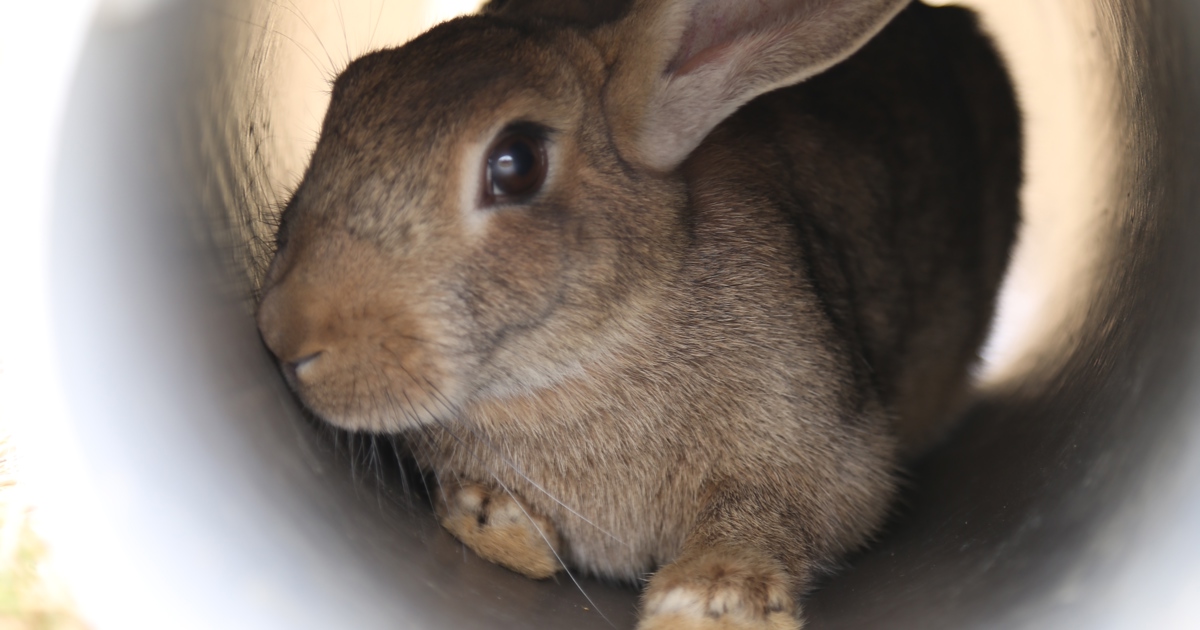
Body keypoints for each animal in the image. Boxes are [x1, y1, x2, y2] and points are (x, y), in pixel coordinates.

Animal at [254, 0, 1021, 627]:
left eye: (517, 162)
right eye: (344, 95)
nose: (287, 334)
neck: (585, 358)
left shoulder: (828, 448)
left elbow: (785, 513)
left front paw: (709, 600)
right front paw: (495, 520)